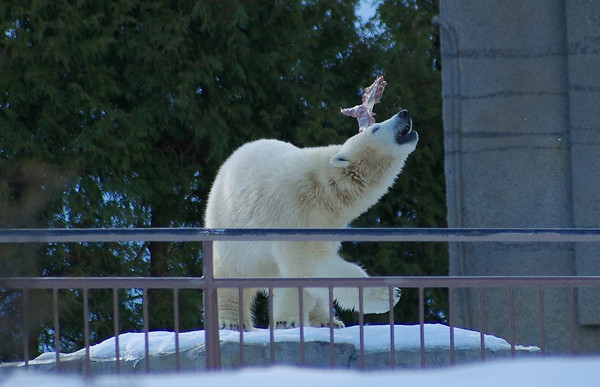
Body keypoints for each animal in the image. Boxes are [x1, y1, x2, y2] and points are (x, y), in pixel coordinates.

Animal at [206, 108, 418, 330]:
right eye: (375, 128)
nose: (404, 113)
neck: (324, 187)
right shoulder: (292, 212)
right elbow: (306, 261)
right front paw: (388, 294)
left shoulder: (328, 224)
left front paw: (288, 319)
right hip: (229, 228)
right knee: (230, 273)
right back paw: (230, 320)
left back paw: (327, 320)